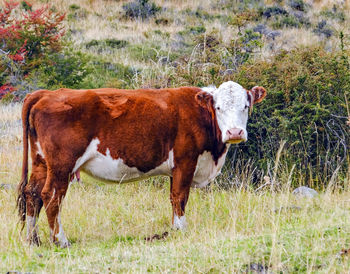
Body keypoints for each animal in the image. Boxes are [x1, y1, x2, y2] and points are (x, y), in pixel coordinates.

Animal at [17, 81, 266, 246]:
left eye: (245, 106)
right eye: (219, 107)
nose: (235, 132)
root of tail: (46, 93)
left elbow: (173, 197)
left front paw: (174, 227)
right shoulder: (185, 161)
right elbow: (180, 197)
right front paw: (181, 229)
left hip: (41, 161)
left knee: (33, 194)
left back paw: (33, 239)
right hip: (61, 164)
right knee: (51, 196)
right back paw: (60, 240)